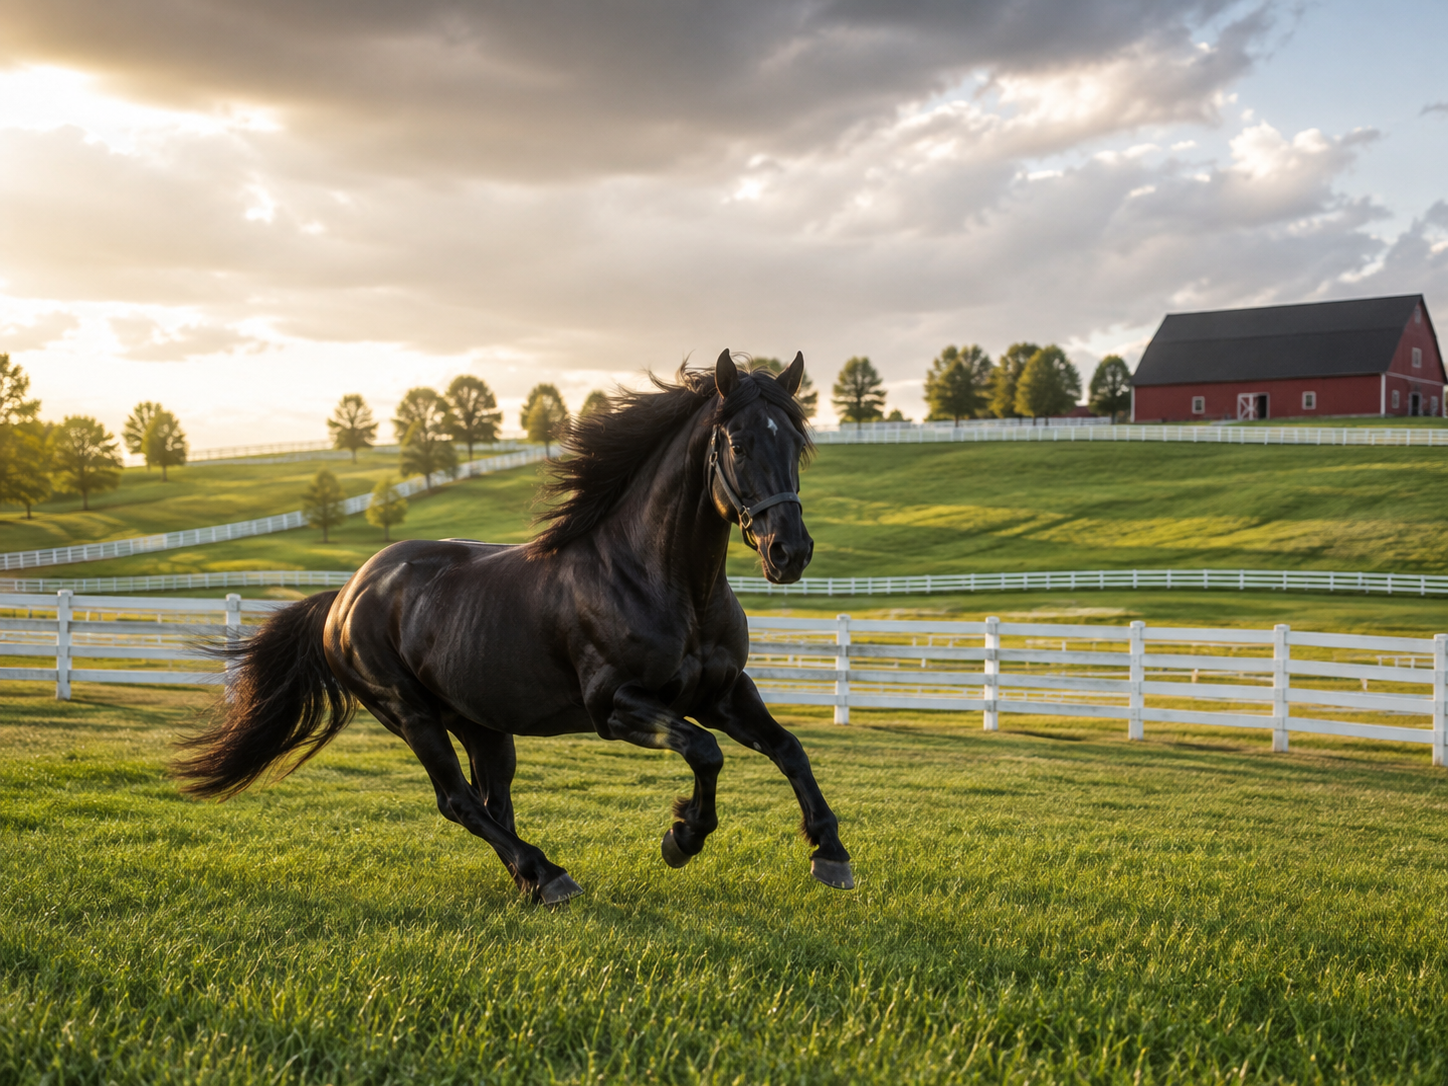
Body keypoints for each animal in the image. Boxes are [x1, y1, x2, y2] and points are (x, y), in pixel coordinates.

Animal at [175, 351, 853, 905]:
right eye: (737, 444)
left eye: (796, 444)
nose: (790, 552)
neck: (662, 582)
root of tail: (344, 596)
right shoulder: (616, 707)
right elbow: (706, 752)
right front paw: (682, 836)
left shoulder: (722, 691)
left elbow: (789, 749)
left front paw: (831, 855)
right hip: (411, 716)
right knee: (457, 801)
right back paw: (547, 875)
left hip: (482, 724)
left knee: (490, 800)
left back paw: (532, 881)